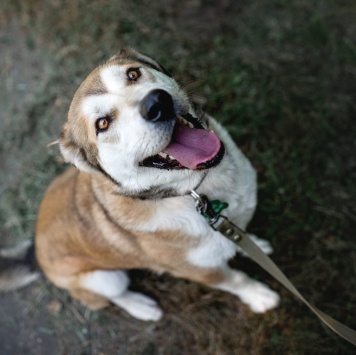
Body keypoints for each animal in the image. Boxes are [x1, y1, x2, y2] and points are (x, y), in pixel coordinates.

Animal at [0, 48, 278, 322]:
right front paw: (259, 296)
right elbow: (236, 280)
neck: (193, 190)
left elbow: (241, 237)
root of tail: (35, 250)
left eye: (133, 74)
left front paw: (255, 244)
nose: (157, 103)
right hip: (105, 279)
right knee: (113, 297)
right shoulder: (202, 271)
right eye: (102, 124)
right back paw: (142, 307)